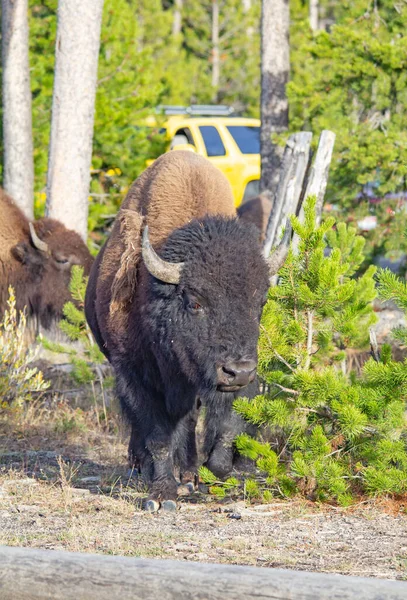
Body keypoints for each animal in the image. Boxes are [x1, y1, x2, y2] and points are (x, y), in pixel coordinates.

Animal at [85, 151, 288, 510]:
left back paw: (190, 474)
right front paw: (161, 495)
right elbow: (157, 434)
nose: (238, 371)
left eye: (260, 301)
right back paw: (143, 467)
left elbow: (225, 428)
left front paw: (212, 470)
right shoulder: (133, 373)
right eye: (194, 301)